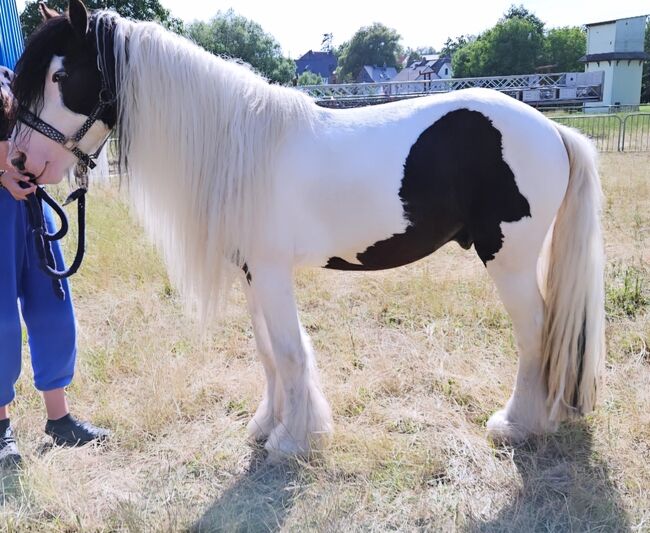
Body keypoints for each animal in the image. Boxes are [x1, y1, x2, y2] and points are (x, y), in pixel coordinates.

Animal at [8, 0, 604, 460]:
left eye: (61, 76)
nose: (20, 163)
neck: (241, 146)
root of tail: (553, 129)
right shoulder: (251, 272)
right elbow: (269, 353)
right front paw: (266, 427)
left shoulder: (272, 272)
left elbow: (291, 352)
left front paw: (293, 441)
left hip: (509, 259)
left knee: (537, 334)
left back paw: (517, 426)